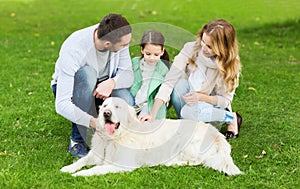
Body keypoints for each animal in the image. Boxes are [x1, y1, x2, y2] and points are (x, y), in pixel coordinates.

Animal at [61, 98, 244, 176]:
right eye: (105, 105)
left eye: (118, 107)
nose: (106, 113)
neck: (114, 138)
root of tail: (217, 135)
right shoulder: (96, 153)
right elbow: (82, 160)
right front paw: (68, 169)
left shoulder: (122, 164)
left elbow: (96, 168)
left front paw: (80, 174)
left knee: (197, 161)